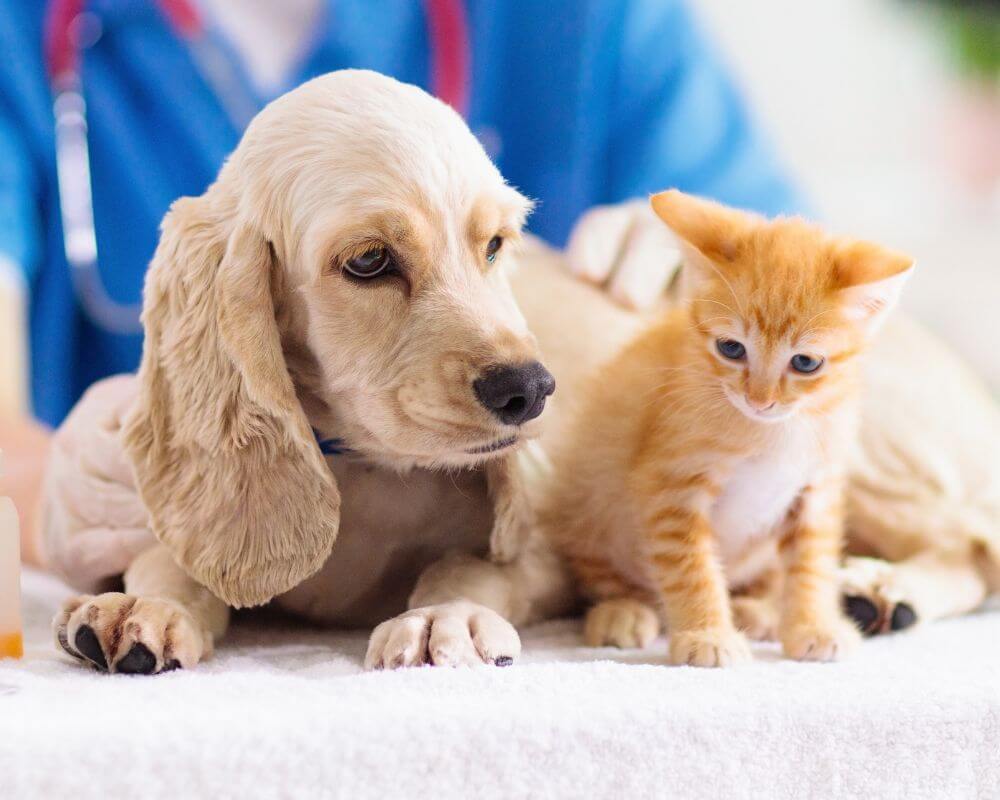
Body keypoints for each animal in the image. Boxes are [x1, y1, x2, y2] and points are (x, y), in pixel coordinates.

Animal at [548, 191, 916, 664]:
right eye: (730, 348)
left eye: (805, 362)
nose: (760, 400)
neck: (775, 432)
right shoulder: (671, 487)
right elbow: (691, 568)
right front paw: (707, 636)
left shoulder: (816, 489)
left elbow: (811, 563)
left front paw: (813, 625)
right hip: (591, 502)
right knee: (606, 572)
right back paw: (622, 611)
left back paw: (757, 610)